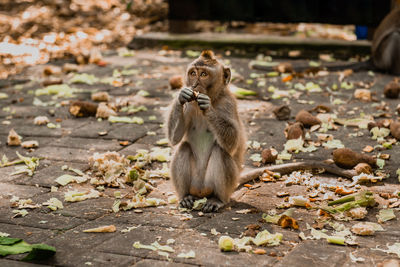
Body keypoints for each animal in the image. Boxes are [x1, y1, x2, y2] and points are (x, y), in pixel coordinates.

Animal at [166, 50, 247, 214]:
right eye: (192, 73)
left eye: (203, 74)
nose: (194, 85)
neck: (214, 98)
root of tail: (201, 191)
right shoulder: (189, 105)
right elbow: (175, 138)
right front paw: (180, 96)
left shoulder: (228, 104)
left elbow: (233, 143)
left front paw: (208, 107)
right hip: (194, 183)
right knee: (183, 147)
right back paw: (185, 197)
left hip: (218, 184)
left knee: (220, 150)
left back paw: (218, 200)